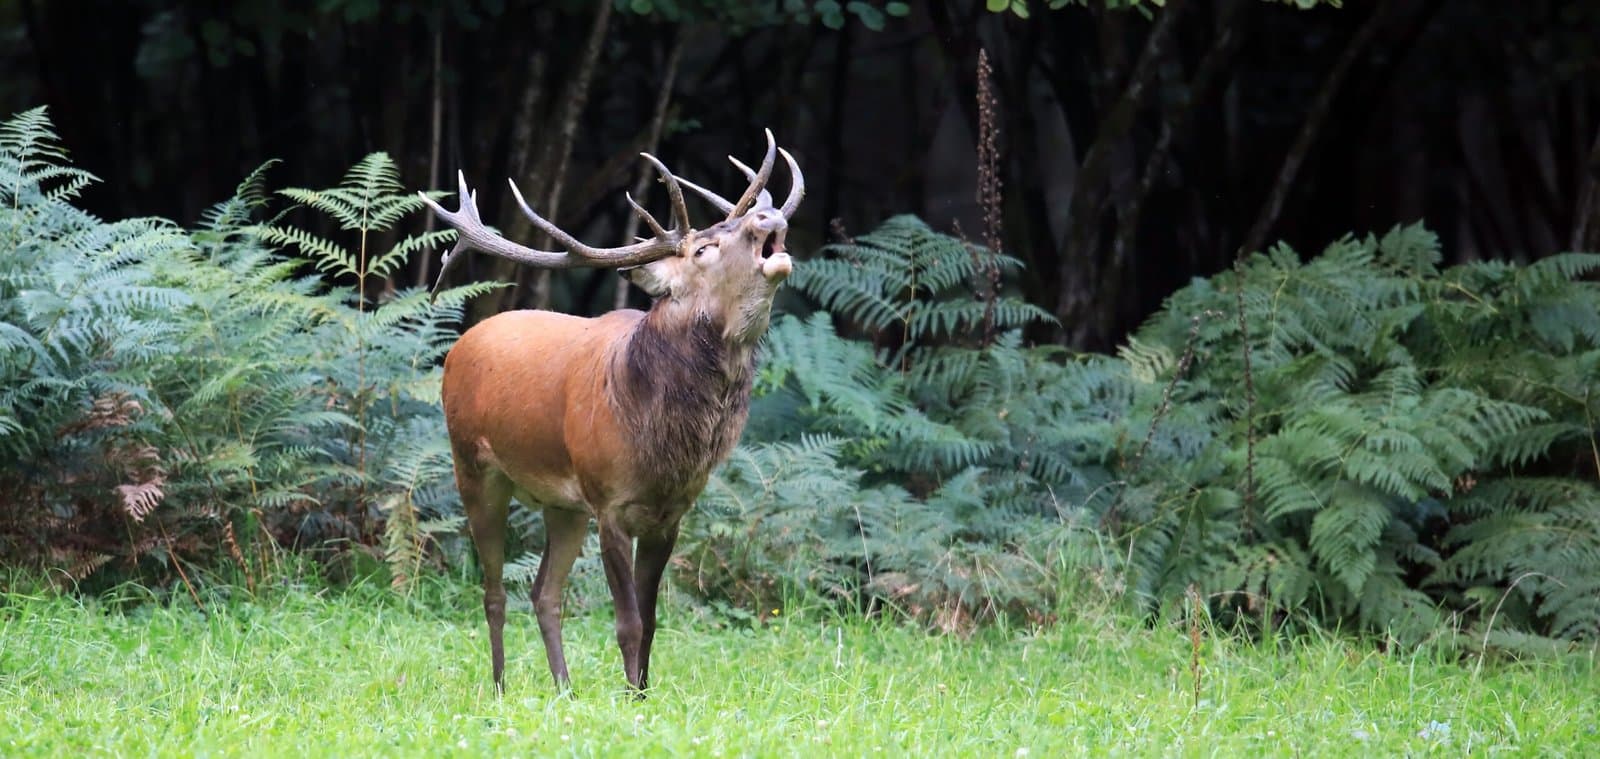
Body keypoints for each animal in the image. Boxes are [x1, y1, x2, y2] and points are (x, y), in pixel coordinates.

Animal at [418, 130, 802, 696]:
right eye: (704, 248)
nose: (767, 218)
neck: (663, 445)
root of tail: (462, 344)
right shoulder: (610, 504)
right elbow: (627, 622)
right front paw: (629, 698)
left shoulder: (671, 515)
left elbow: (653, 620)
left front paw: (641, 692)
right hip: (473, 467)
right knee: (493, 590)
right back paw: (502, 687)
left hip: (564, 505)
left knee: (544, 592)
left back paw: (564, 688)